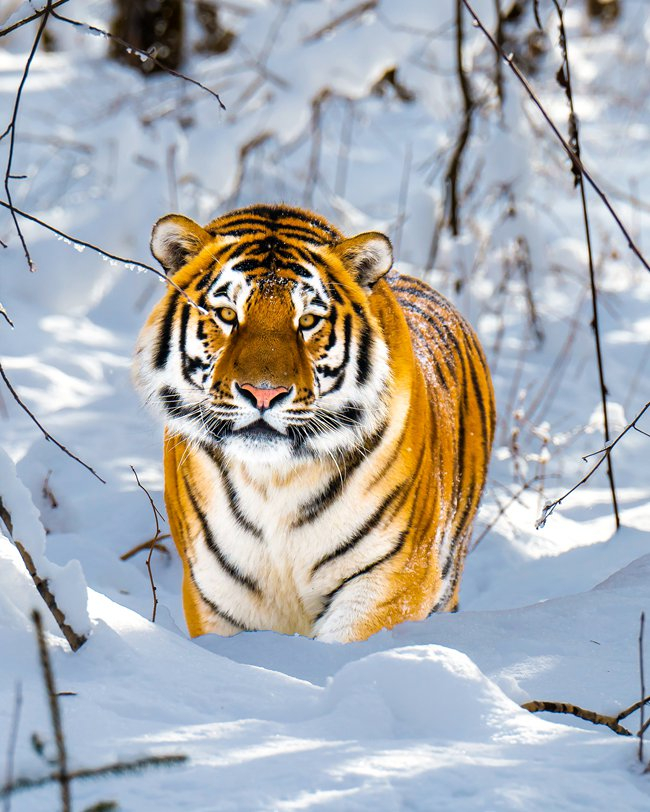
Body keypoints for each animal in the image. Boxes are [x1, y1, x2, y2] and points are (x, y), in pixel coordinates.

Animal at [133, 204, 495, 643]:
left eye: (307, 321)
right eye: (227, 315)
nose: (263, 393)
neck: (273, 482)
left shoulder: (393, 577)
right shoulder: (217, 592)